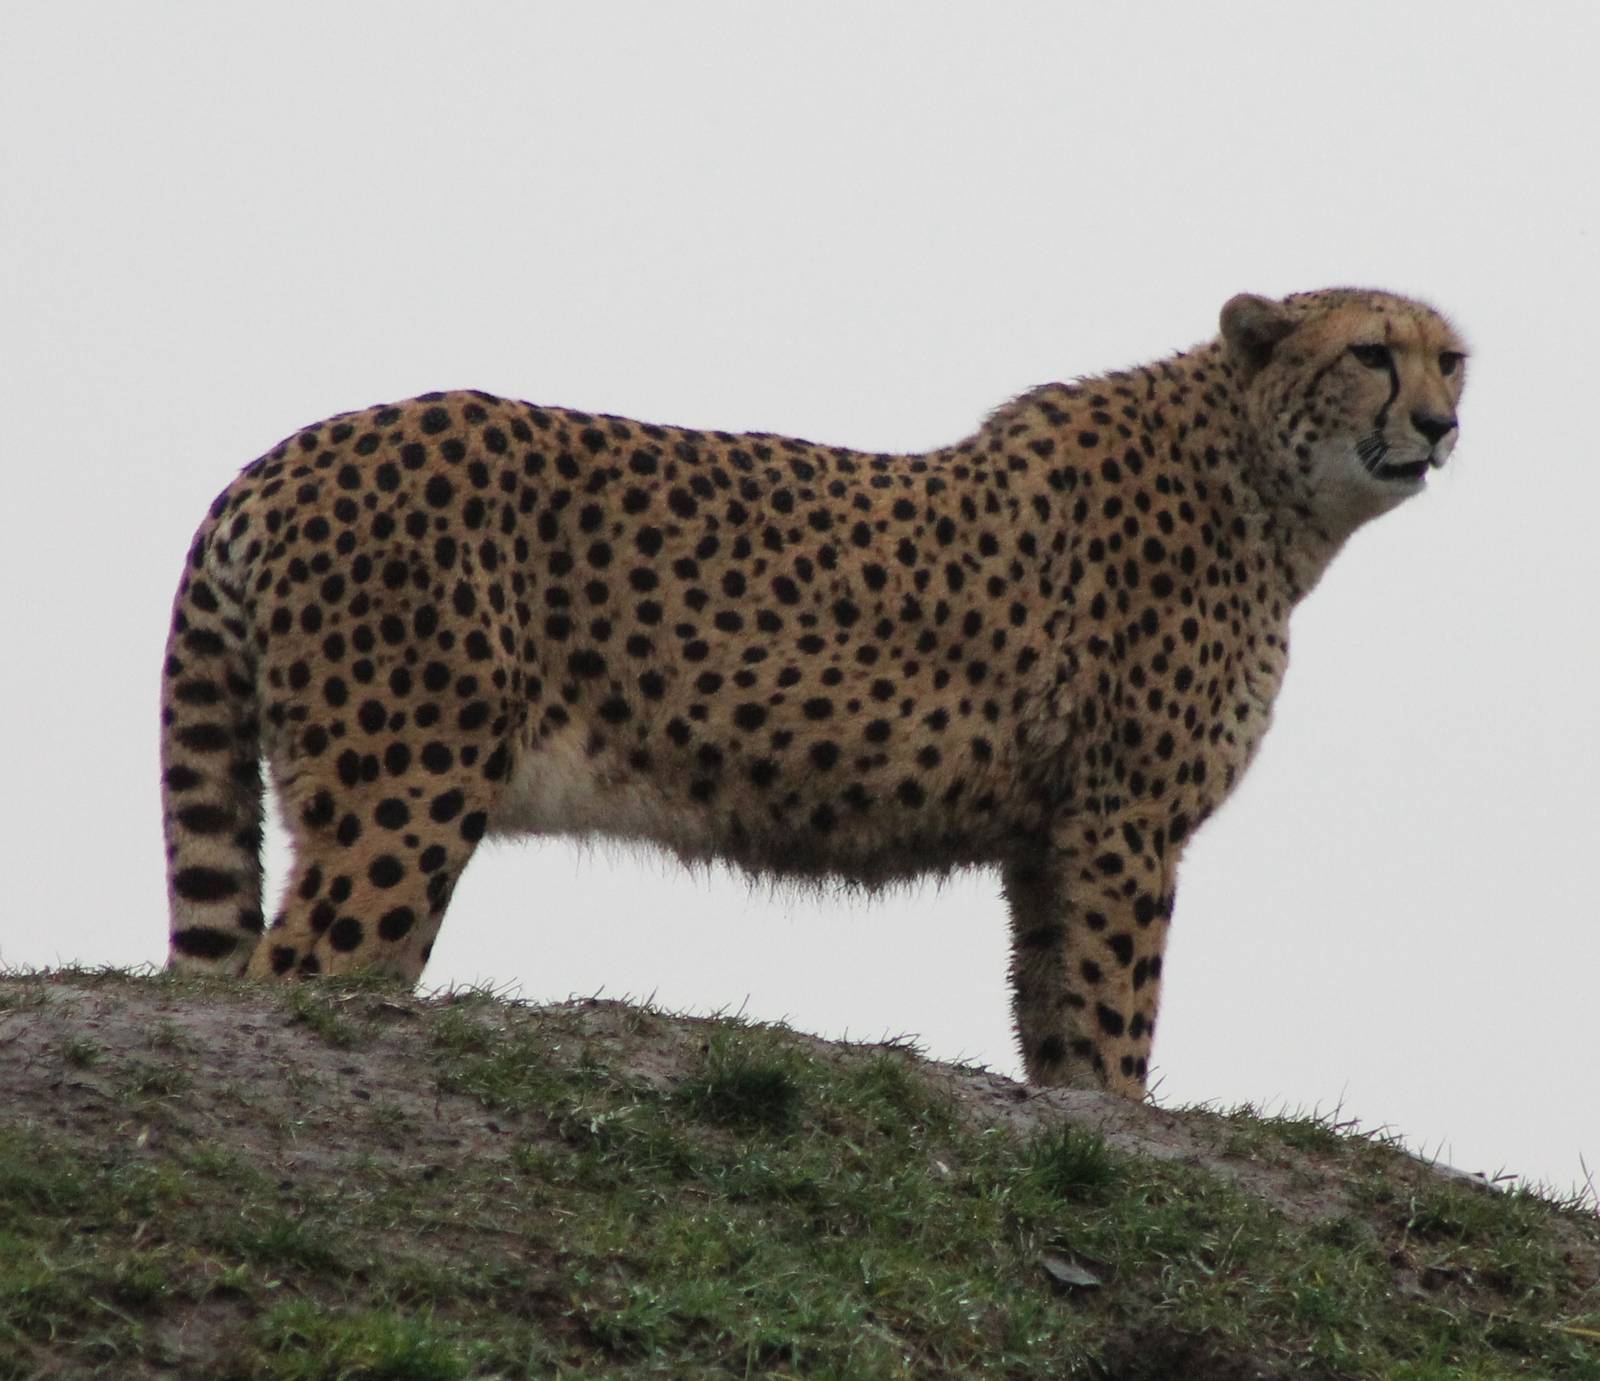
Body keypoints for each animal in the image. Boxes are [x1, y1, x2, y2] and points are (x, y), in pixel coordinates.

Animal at [160, 287, 1466, 1098]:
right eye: (1369, 352)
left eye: (1449, 356)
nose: (1441, 422)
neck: (1261, 481)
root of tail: (282, 457)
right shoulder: (1123, 819)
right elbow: (1116, 1015)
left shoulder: (1053, 833)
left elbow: (1060, 1020)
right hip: (406, 793)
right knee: (295, 976)